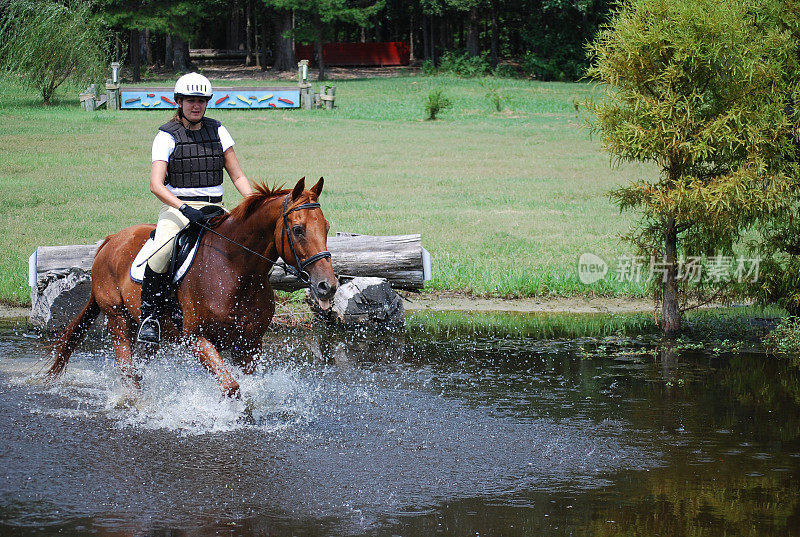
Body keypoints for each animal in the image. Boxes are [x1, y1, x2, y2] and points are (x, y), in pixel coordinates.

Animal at [47, 178, 334, 396]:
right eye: (298, 229)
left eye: (327, 227)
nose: (327, 286)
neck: (235, 270)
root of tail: (110, 241)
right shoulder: (196, 338)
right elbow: (231, 387)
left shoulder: (249, 344)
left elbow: (248, 385)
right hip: (118, 319)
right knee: (128, 371)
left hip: (147, 333)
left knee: (139, 367)